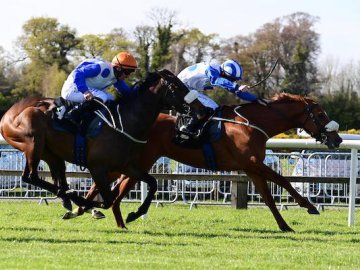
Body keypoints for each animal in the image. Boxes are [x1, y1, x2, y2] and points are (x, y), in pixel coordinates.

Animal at [0, 70, 197, 217]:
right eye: (177, 85)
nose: (194, 108)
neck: (124, 122)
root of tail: (8, 114)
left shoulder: (126, 165)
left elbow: (153, 182)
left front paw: (137, 212)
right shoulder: (97, 167)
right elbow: (108, 199)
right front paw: (84, 204)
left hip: (49, 153)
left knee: (49, 177)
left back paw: (66, 199)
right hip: (33, 142)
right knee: (31, 177)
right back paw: (70, 197)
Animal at [72, 93, 340, 232]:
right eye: (321, 114)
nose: (336, 139)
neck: (251, 124)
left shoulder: (250, 168)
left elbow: (268, 197)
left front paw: (284, 226)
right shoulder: (252, 163)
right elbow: (283, 181)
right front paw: (309, 205)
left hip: (140, 161)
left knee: (116, 187)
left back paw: (106, 215)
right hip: (137, 159)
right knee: (108, 183)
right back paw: (84, 209)